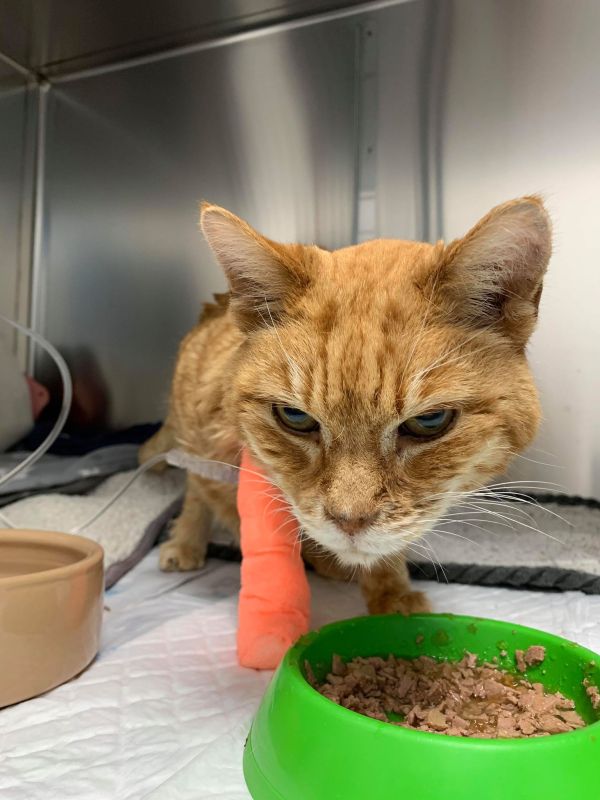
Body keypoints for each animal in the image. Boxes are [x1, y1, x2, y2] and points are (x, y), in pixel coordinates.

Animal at [139, 195, 551, 615]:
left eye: (430, 421)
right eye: (294, 417)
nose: (349, 522)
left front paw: (391, 593)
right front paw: (325, 561)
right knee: (193, 490)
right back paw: (185, 541)